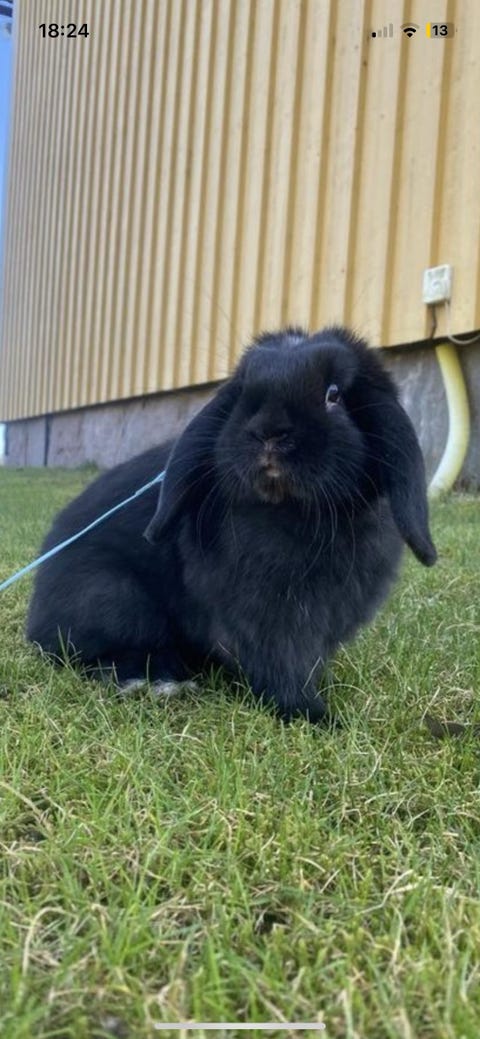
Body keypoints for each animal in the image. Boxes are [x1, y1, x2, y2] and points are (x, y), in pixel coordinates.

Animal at [27, 326, 437, 722]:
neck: (296, 514)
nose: (268, 431)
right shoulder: (267, 617)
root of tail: (36, 616)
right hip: (111, 596)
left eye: (333, 394)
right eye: (243, 392)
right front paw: (317, 716)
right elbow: (281, 666)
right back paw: (156, 682)